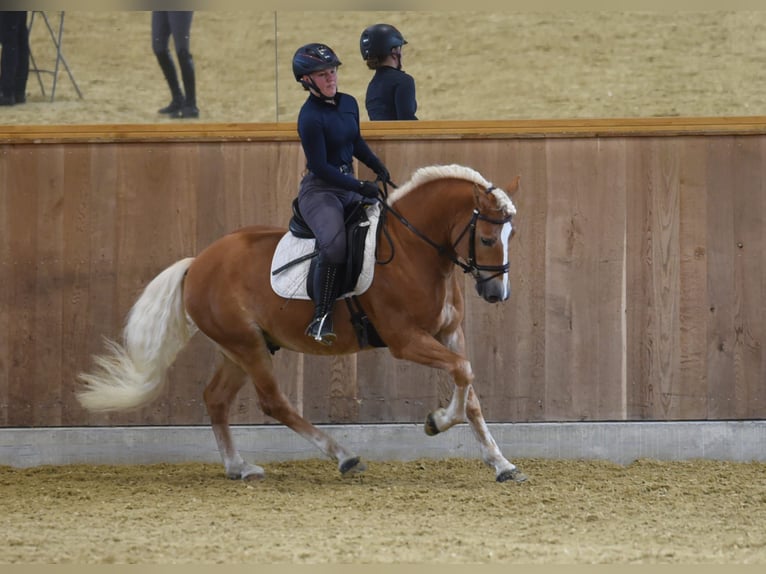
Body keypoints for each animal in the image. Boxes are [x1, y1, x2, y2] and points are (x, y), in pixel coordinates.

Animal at [79, 163, 528, 486]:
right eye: (487, 239)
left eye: (511, 235)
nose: (497, 293)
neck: (412, 249)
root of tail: (197, 263)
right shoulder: (406, 339)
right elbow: (462, 372)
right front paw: (437, 422)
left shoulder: (449, 332)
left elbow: (469, 390)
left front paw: (501, 463)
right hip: (247, 347)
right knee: (272, 402)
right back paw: (344, 456)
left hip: (240, 348)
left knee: (216, 398)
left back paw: (239, 467)